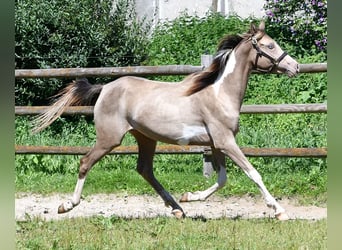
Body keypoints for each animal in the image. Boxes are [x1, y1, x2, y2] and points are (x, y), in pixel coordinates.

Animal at [32, 22, 300, 221]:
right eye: (269, 45)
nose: (295, 66)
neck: (219, 93)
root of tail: (105, 88)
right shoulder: (225, 141)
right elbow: (253, 173)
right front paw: (280, 211)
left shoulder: (216, 144)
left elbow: (222, 179)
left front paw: (189, 196)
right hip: (110, 138)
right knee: (85, 162)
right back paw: (67, 205)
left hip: (146, 138)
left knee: (144, 169)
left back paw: (177, 208)